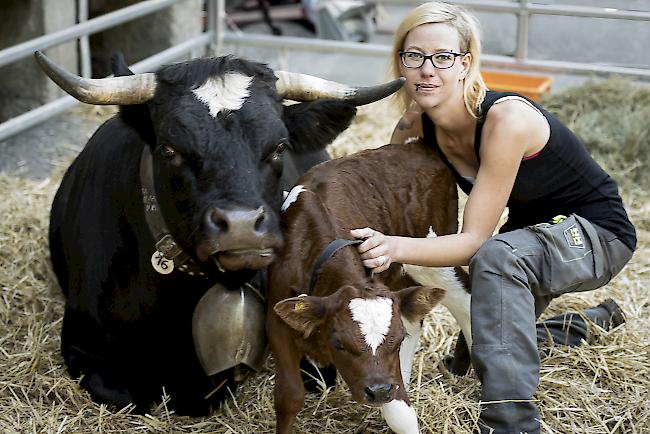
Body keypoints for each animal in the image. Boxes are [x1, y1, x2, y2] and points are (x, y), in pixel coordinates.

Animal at [268, 141, 470, 432]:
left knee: (465, 299)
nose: (379, 391)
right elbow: (289, 397)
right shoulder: (276, 321)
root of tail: (418, 145)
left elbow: (400, 414)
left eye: (396, 340)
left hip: (436, 256)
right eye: (339, 344)